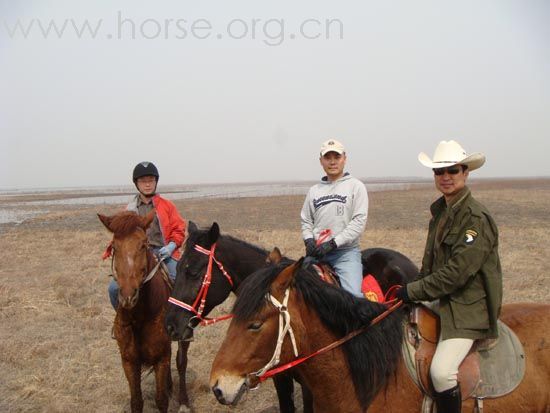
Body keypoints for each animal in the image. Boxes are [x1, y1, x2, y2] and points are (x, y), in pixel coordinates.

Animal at [99, 212, 192, 412]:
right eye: (114, 247)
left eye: (143, 244)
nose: (128, 295)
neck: (140, 318)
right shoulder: (129, 361)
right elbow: (136, 401)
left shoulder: (160, 358)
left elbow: (161, 400)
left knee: (181, 362)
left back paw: (183, 401)